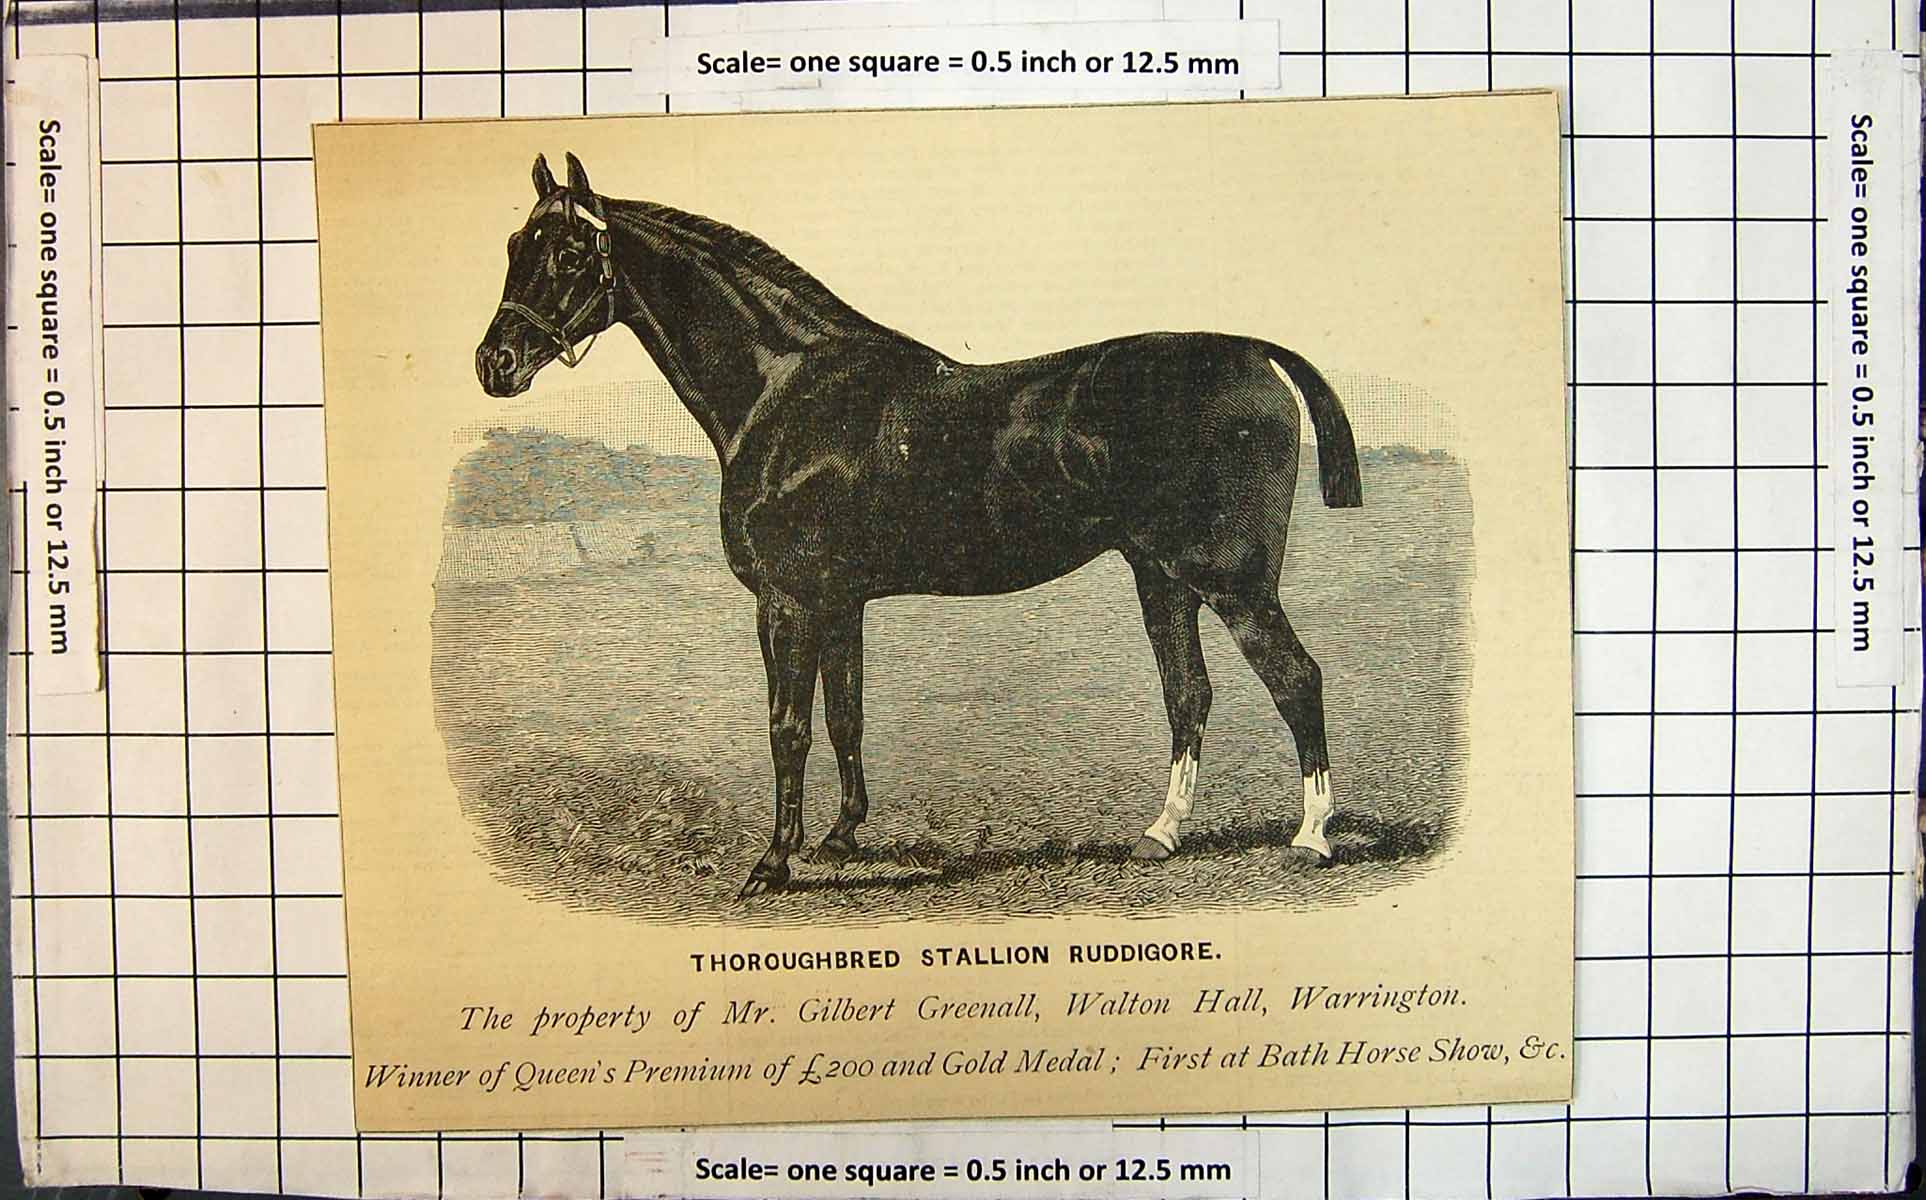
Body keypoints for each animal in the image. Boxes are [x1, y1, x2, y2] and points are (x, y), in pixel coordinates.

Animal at [475, 153, 1364, 899]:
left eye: (569, 254)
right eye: (516, 243)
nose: (496, 364)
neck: (787, 390)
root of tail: (1251, 353)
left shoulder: (786, 602)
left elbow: (788, 727)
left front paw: (773, 863)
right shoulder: (839, 603)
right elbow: (845, 716)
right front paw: (840, 839)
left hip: (1230, 579)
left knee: (1296, 679)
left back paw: (1311, 838)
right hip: (1164, 576)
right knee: (1189, 694)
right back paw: (1161, 834)